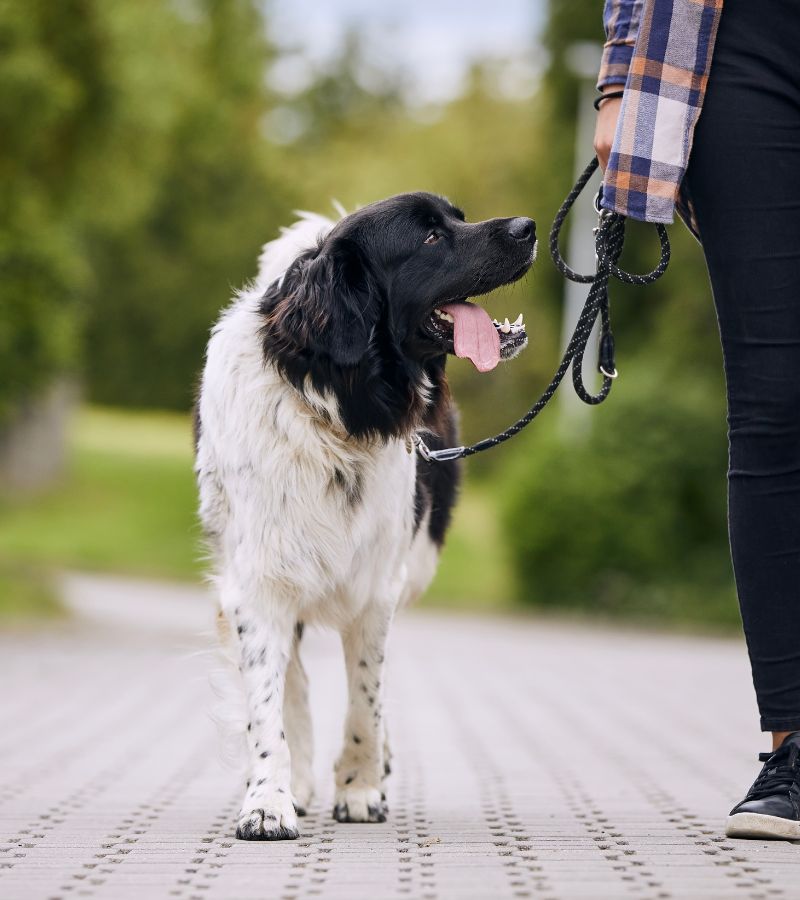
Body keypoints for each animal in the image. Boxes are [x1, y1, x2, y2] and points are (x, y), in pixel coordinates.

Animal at [194, 193, 536, 840]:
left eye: (457, 217)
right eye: (430, 237)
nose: (529, 226)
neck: (336, 408)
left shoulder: (378, 584)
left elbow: (365, 695)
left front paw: (359, 785)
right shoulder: (254, 584)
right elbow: (269, 703)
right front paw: (269, 800)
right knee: (294, 681)